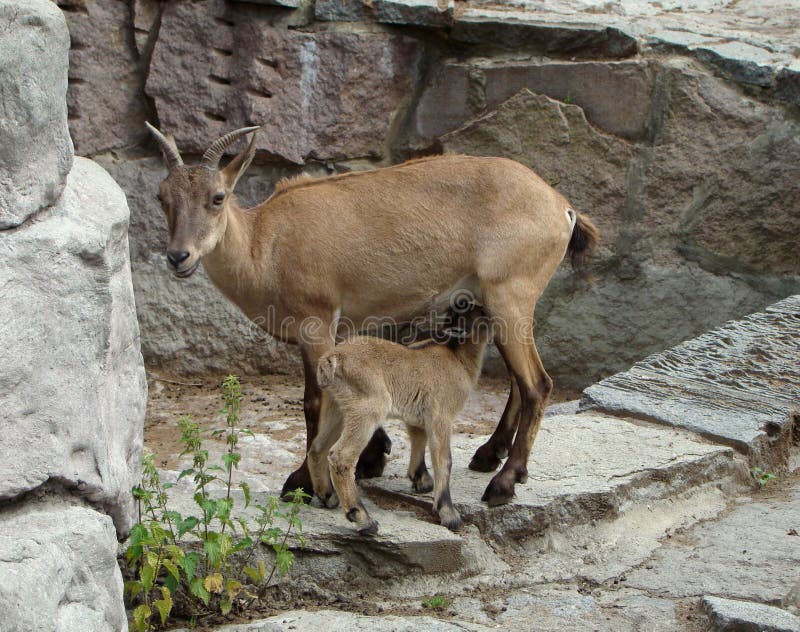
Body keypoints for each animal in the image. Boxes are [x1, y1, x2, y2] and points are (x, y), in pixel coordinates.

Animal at [147, 123, 596, 506]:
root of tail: (563, 208)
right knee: (520, 381)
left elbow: (315, 401)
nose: (178, 257)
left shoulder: (316, 322)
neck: (264, 246)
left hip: (511, 296)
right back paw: (488, 455)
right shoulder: (343, 328)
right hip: (500, 305)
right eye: (162, 198)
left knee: (537, 383)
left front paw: (302, 482)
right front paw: (373, 457)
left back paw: (504, 481)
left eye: (217, 197)